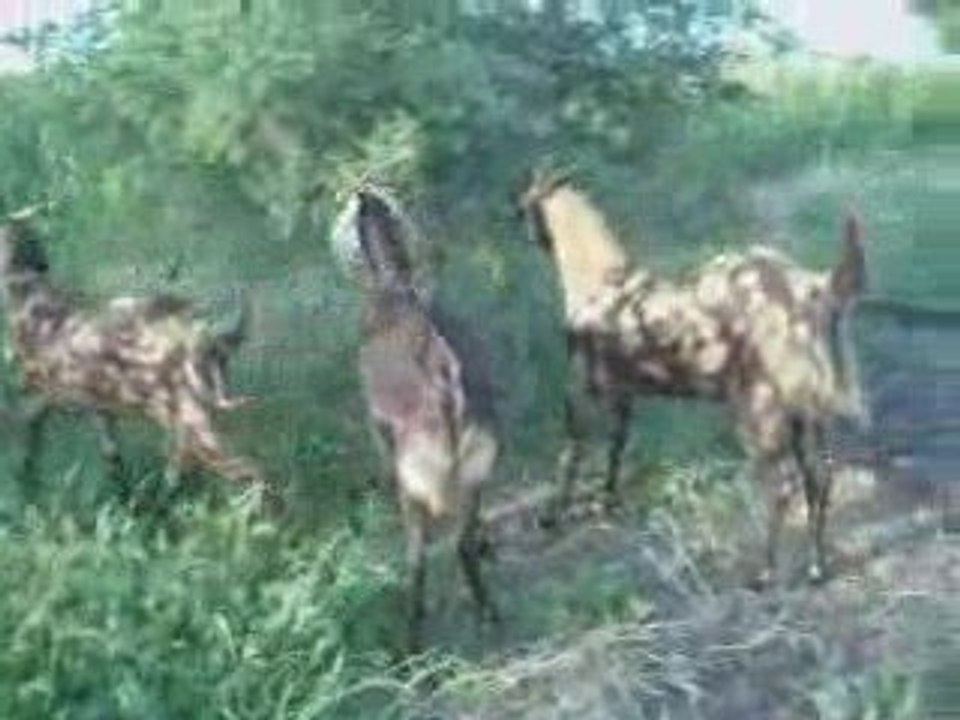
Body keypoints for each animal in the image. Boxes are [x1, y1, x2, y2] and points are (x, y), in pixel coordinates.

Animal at [0, 207, 277, 512]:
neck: (27, 291)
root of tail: (210, 337)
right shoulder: (96, 409)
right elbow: (113, 460)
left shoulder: (40, 394)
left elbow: (28, 442)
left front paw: (26, 488)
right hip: (191, 427)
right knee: (188, 475)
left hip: (192, 427)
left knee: (252, 473)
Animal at [333, 184, 500, 651]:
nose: (361, 190)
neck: (395, 289)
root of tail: (449, 394)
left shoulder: (381, 433)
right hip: (475, 469)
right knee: (463, 539)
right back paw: (487, 611)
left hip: (417, 487)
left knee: (419, 558)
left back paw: (410, 641)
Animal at [519, 172, 867, 585]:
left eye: (524, 205)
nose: (528, 235)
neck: (604, 280)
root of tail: (811, 289)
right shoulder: (623, 393)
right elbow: (617, 445)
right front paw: (607, 502)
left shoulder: (579, 387)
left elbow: (571, 451)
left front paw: (551, 516)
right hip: (806, 413)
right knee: (819, 479)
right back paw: (817, 566)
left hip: (759, 410)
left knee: (782, 485)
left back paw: (765, 571)